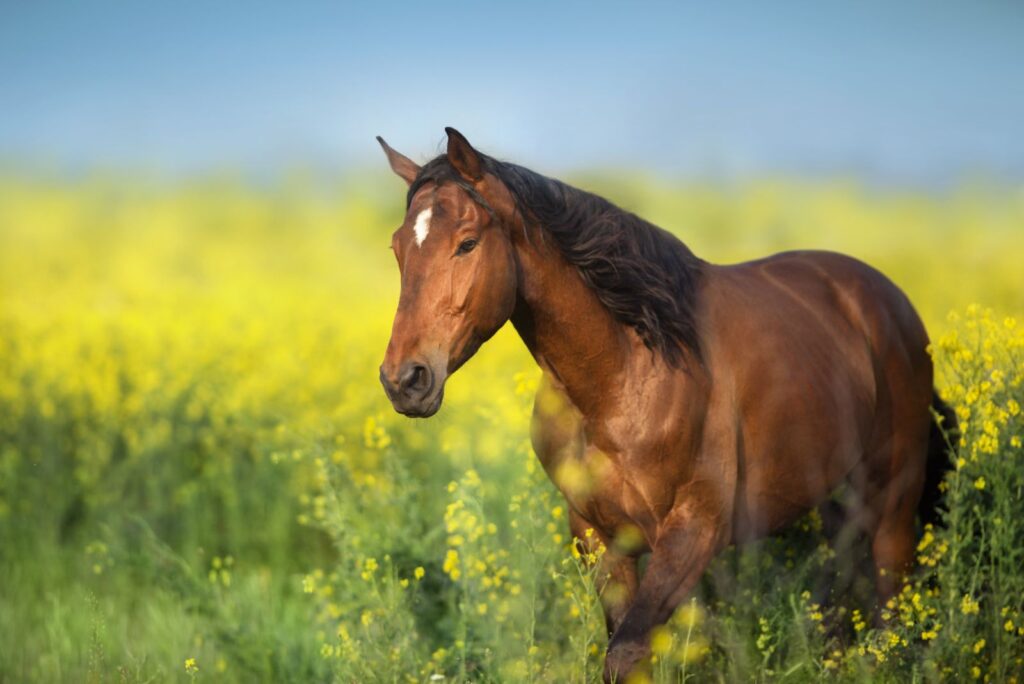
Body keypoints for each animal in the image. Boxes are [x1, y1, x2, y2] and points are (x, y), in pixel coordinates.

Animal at [376, 126, 950, 679]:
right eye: (399, 248)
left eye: (467, 243)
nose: (405, 379)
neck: (624, 374)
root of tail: (889, 303)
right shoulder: (601, 538)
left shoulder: (693, 531)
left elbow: (627, 652)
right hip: (836, 501)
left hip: (891, 507)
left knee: (888, 609)